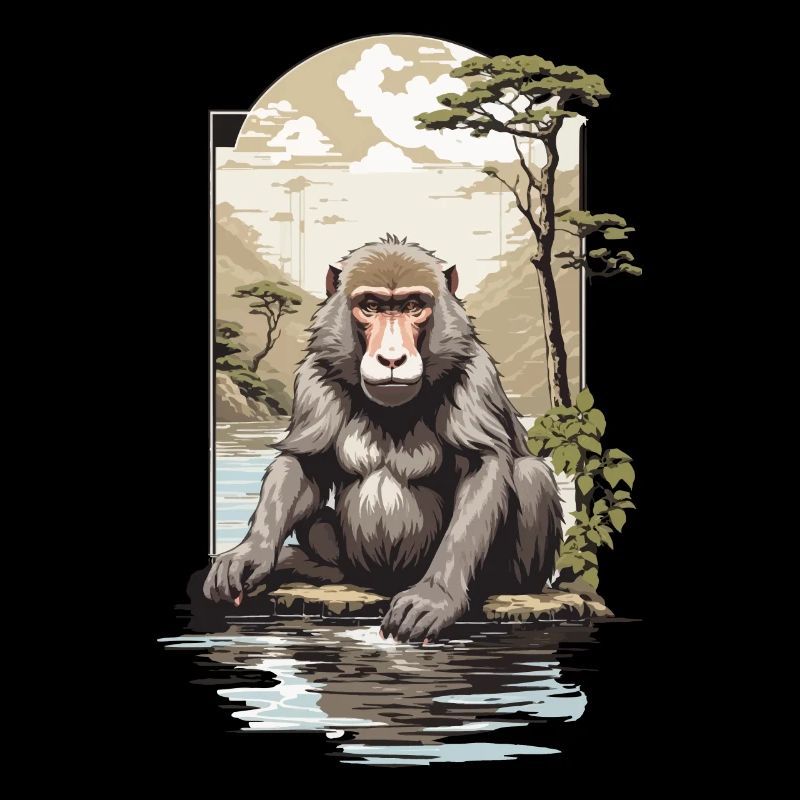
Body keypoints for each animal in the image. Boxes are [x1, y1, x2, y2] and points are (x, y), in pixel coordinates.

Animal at [204, 234, 563, 643]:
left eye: (412, 307)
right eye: (372, 307)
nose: (392, 358)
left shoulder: (475, 375)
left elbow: (483, 467)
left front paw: (436, 595)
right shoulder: (315, 377)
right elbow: (304, 464)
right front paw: (252, 554)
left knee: (531, 474)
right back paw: (307, 565)